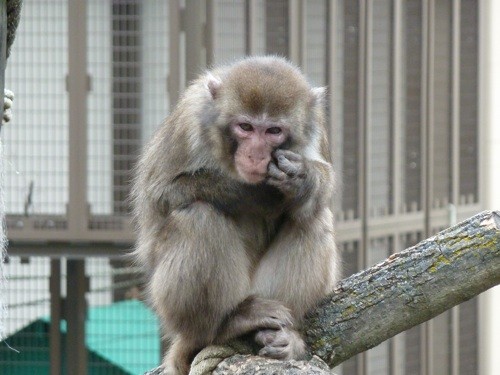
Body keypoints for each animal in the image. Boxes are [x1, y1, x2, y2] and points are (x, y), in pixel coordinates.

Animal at [131, 56, 338, 375]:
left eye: (273, 131)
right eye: (245, 127)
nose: (255, 155)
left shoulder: (316, 130)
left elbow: (322, 186)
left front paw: (303, 178)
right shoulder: (188, 118)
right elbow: (159, 195)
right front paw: (256, 195)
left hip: (260, 288)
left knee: (312, 218)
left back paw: (286, 337)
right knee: (199, 216)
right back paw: (226, 323)